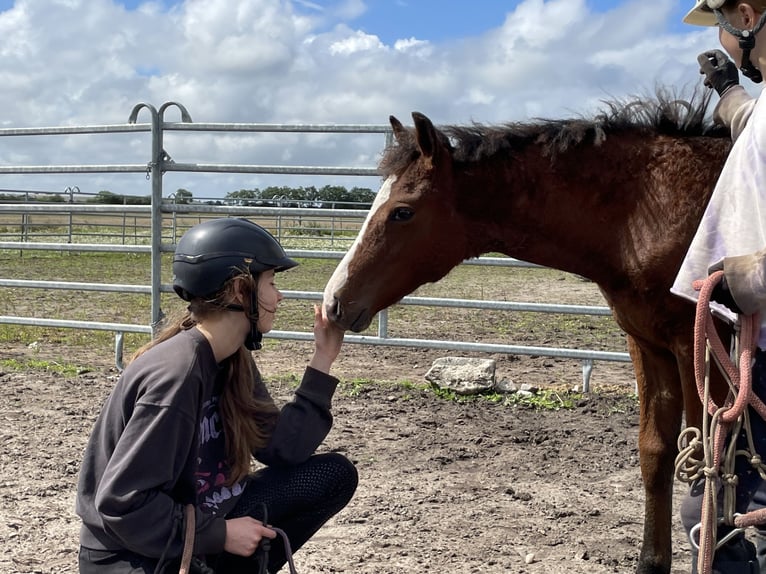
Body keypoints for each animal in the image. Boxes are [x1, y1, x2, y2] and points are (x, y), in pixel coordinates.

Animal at [320, 91, 736, 574]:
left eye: (402, 211)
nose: (333, 302)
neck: (647, 211)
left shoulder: (699, 349)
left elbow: (708, 465)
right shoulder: (648, 344)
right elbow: (657, 452)